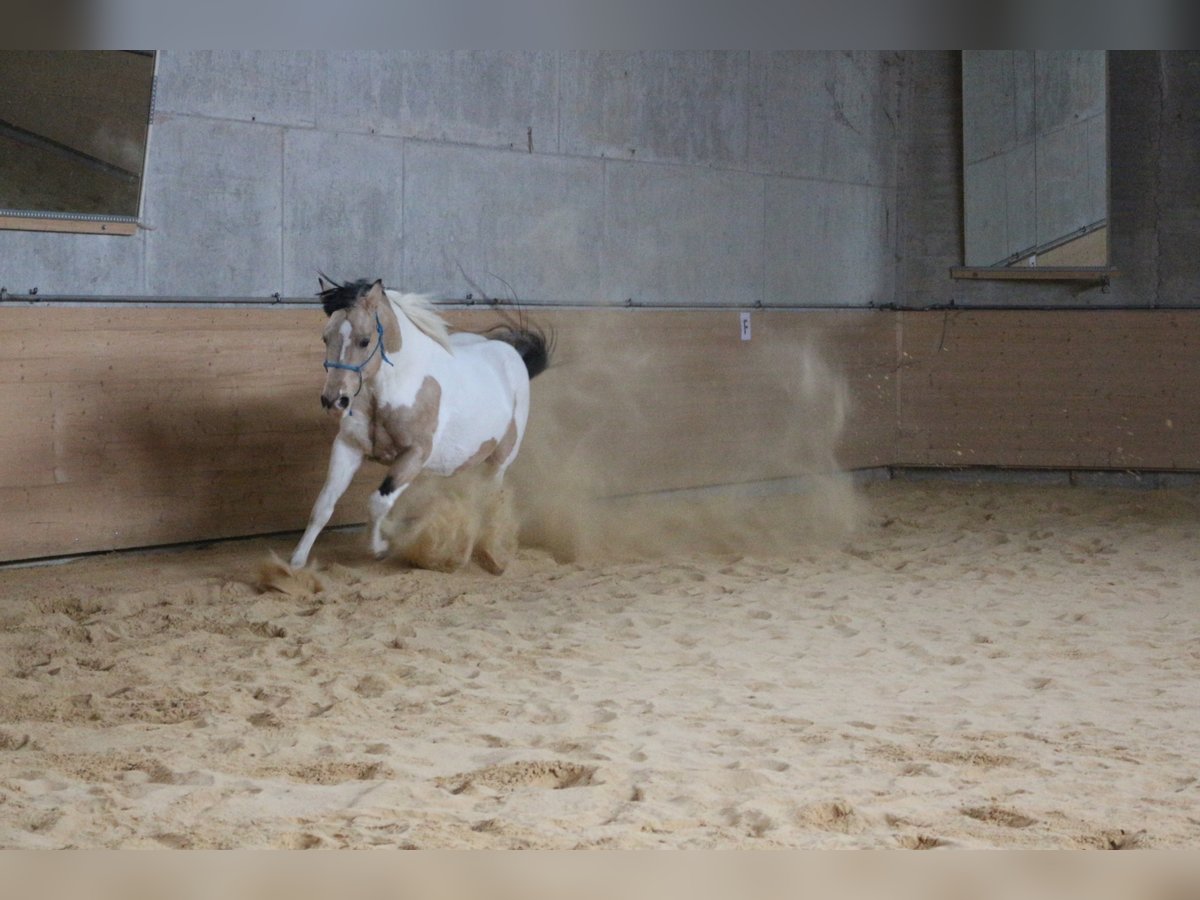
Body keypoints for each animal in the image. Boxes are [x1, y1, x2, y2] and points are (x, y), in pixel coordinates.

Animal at [289, 276, 551, 573]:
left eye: (365, 340)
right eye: (326, 337)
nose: (334, 400)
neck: (395, 389)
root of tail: (512, 354)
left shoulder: (414, 455)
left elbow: (378, 502)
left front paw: (380, 548)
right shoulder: (348, 447)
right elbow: (324, 505)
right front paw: (296, 562)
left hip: (500, 461)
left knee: (490, 500)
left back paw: (488, 555)